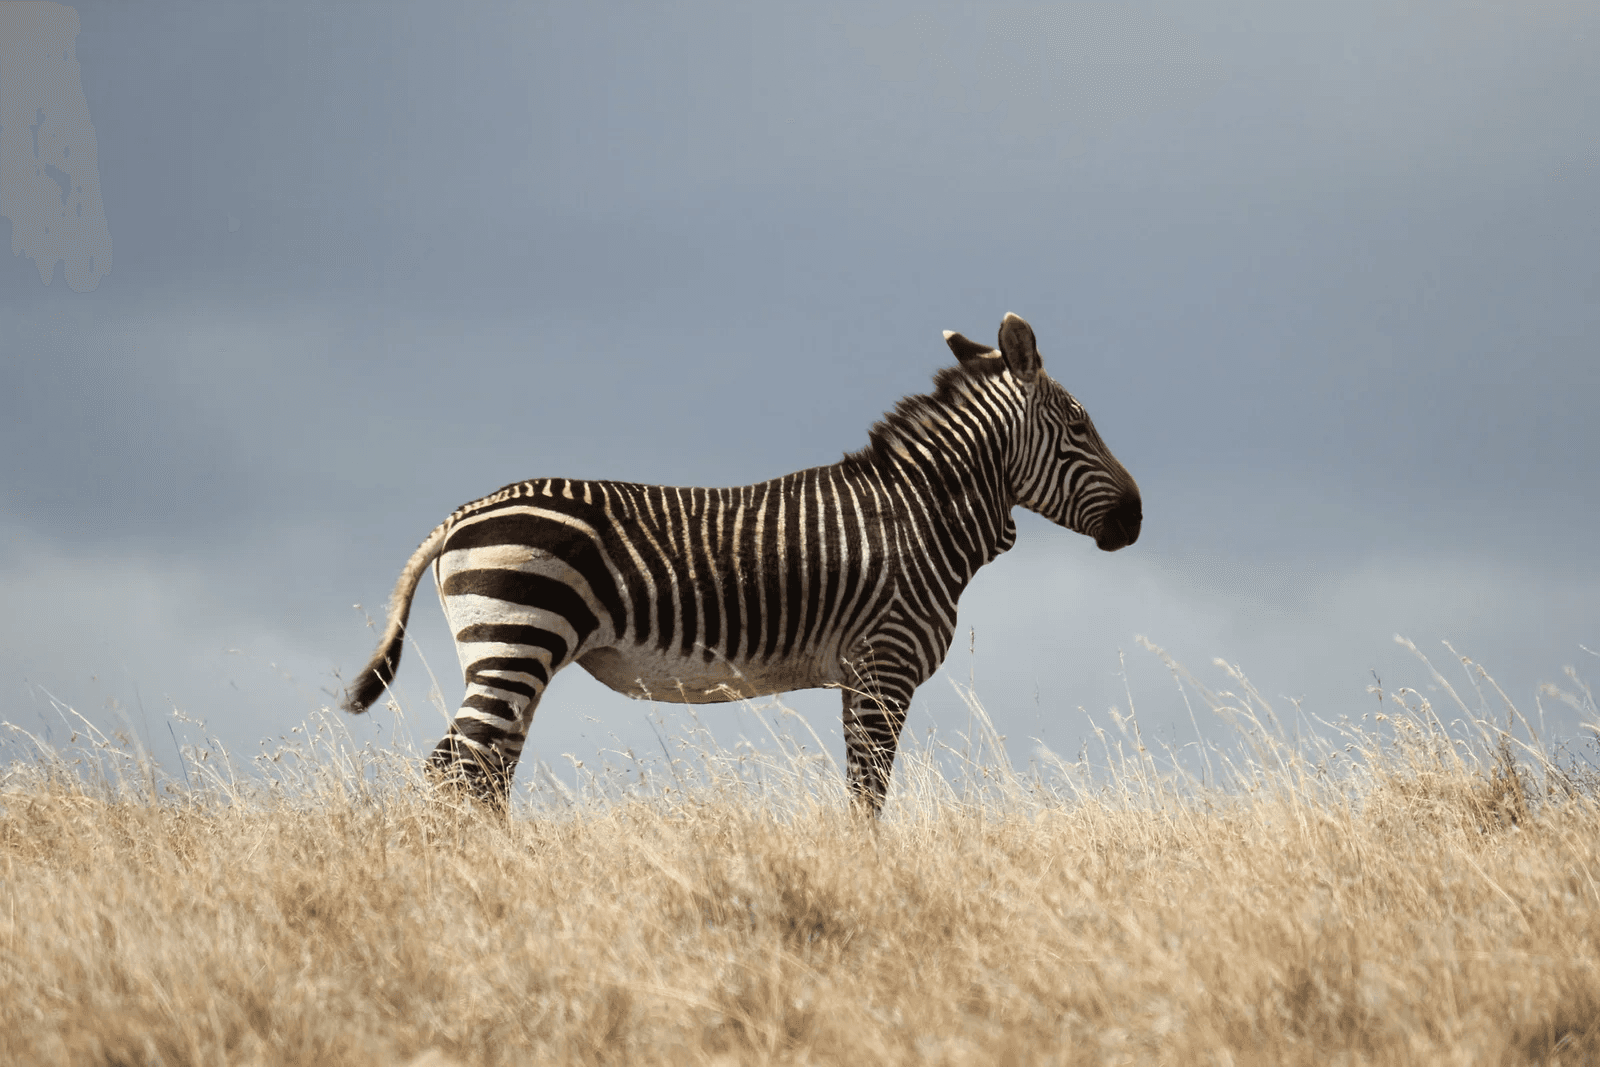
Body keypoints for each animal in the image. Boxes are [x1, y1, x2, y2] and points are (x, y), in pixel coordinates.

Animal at [342, 313, 1141, 813]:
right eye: (1078, 426)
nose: (1136, 519)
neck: (920, 515)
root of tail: (460, 515)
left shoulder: (861, 673)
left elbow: (862, 788)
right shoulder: (883, 665)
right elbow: (868, 791)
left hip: (511, 653)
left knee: (483, 771)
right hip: (518, 638)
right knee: (457, 768)